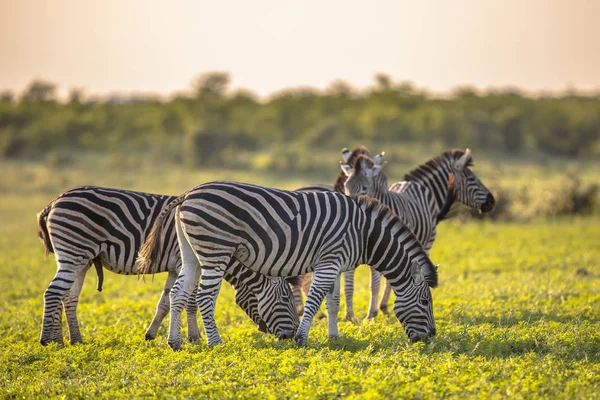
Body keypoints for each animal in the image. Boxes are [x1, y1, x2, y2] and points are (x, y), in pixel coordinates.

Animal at [35, 186, 298, 346]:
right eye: (287, 299)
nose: (291, 336)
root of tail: (54, 202)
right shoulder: (187, 262)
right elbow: (190, 302)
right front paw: (194, 338)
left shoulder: (175, 268)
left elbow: (165, 302)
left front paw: (152, 334)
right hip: (73, 251)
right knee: (53, 292)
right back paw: (48, 340)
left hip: (81, 259)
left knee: (67, 296)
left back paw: (72, 339)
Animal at [135, 180, 436, 348]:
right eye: (425, 302)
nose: (431, 337)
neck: (363, 233)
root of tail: (187, 194)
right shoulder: (329, 262)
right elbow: (314, 300)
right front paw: (303, 339)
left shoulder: (333, 264)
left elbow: (332, 301)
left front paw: (334, 337)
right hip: (215, 250)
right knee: (205, 297)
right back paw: (216, 343)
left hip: (191, 253)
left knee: (178, 293)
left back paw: (174, 343)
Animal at [340, 148, 494, 320]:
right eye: (345, 186)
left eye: (365, 188)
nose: (491, 201)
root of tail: (410, 183)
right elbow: (361, 280)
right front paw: (359, 315)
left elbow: (379, 280)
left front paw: (373, 313)